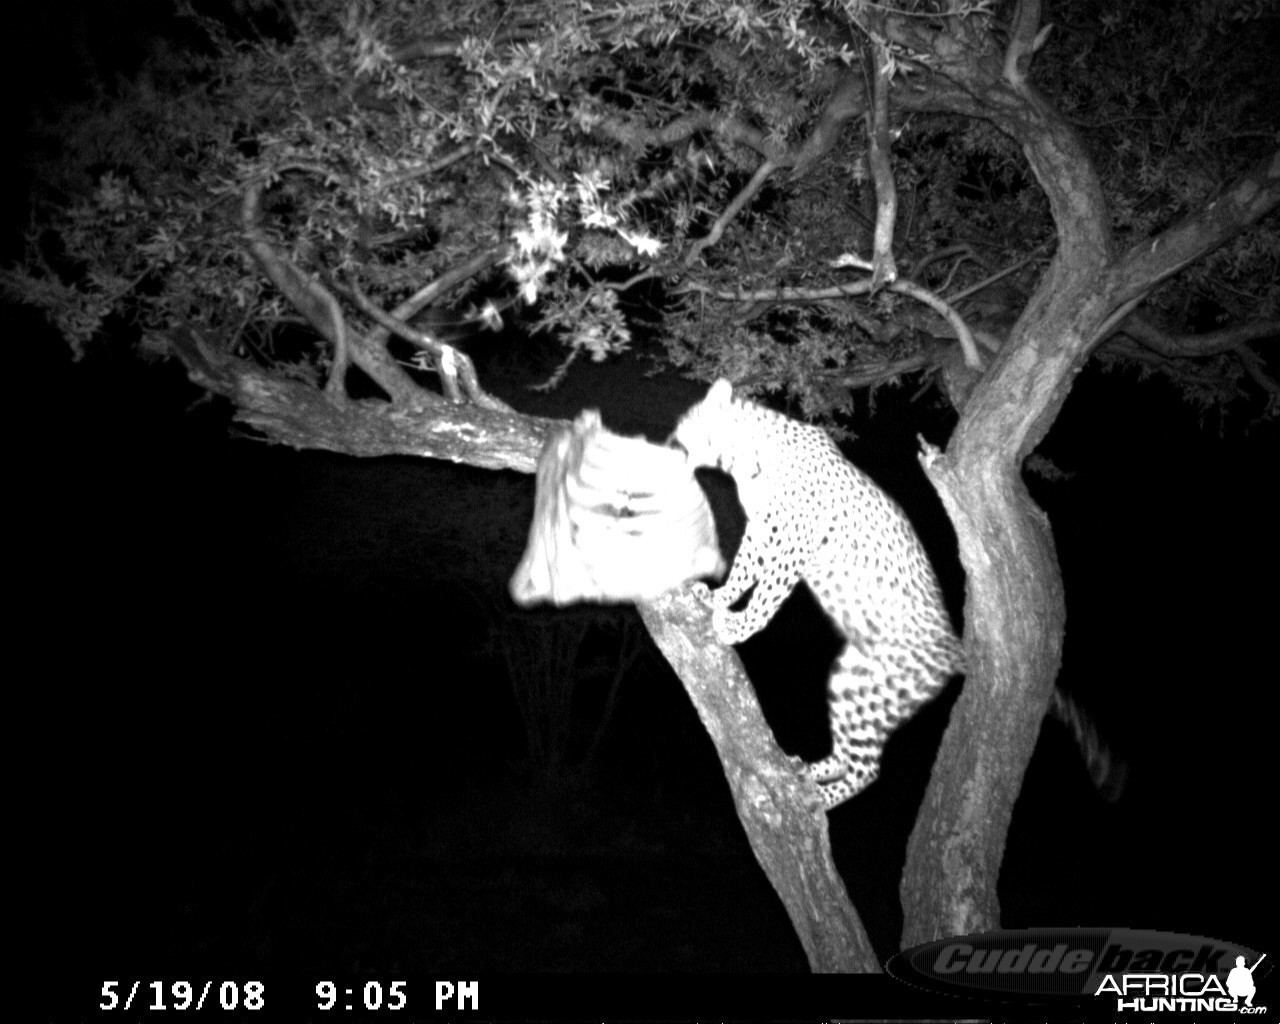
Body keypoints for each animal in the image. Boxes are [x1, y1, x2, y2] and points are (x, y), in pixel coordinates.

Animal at [670, 378, 967, 814]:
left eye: (689, 423)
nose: (671, 443)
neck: (743, 460)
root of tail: (953, 647)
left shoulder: (793, 541)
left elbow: (766, 597)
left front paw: (737, 626)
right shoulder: (761, 535)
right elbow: (742, 571)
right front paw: (717, 596)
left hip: (877, 691)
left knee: (868, 769)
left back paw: (817, 799)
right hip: (855, 679)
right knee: (850, 756)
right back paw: (804, 773)